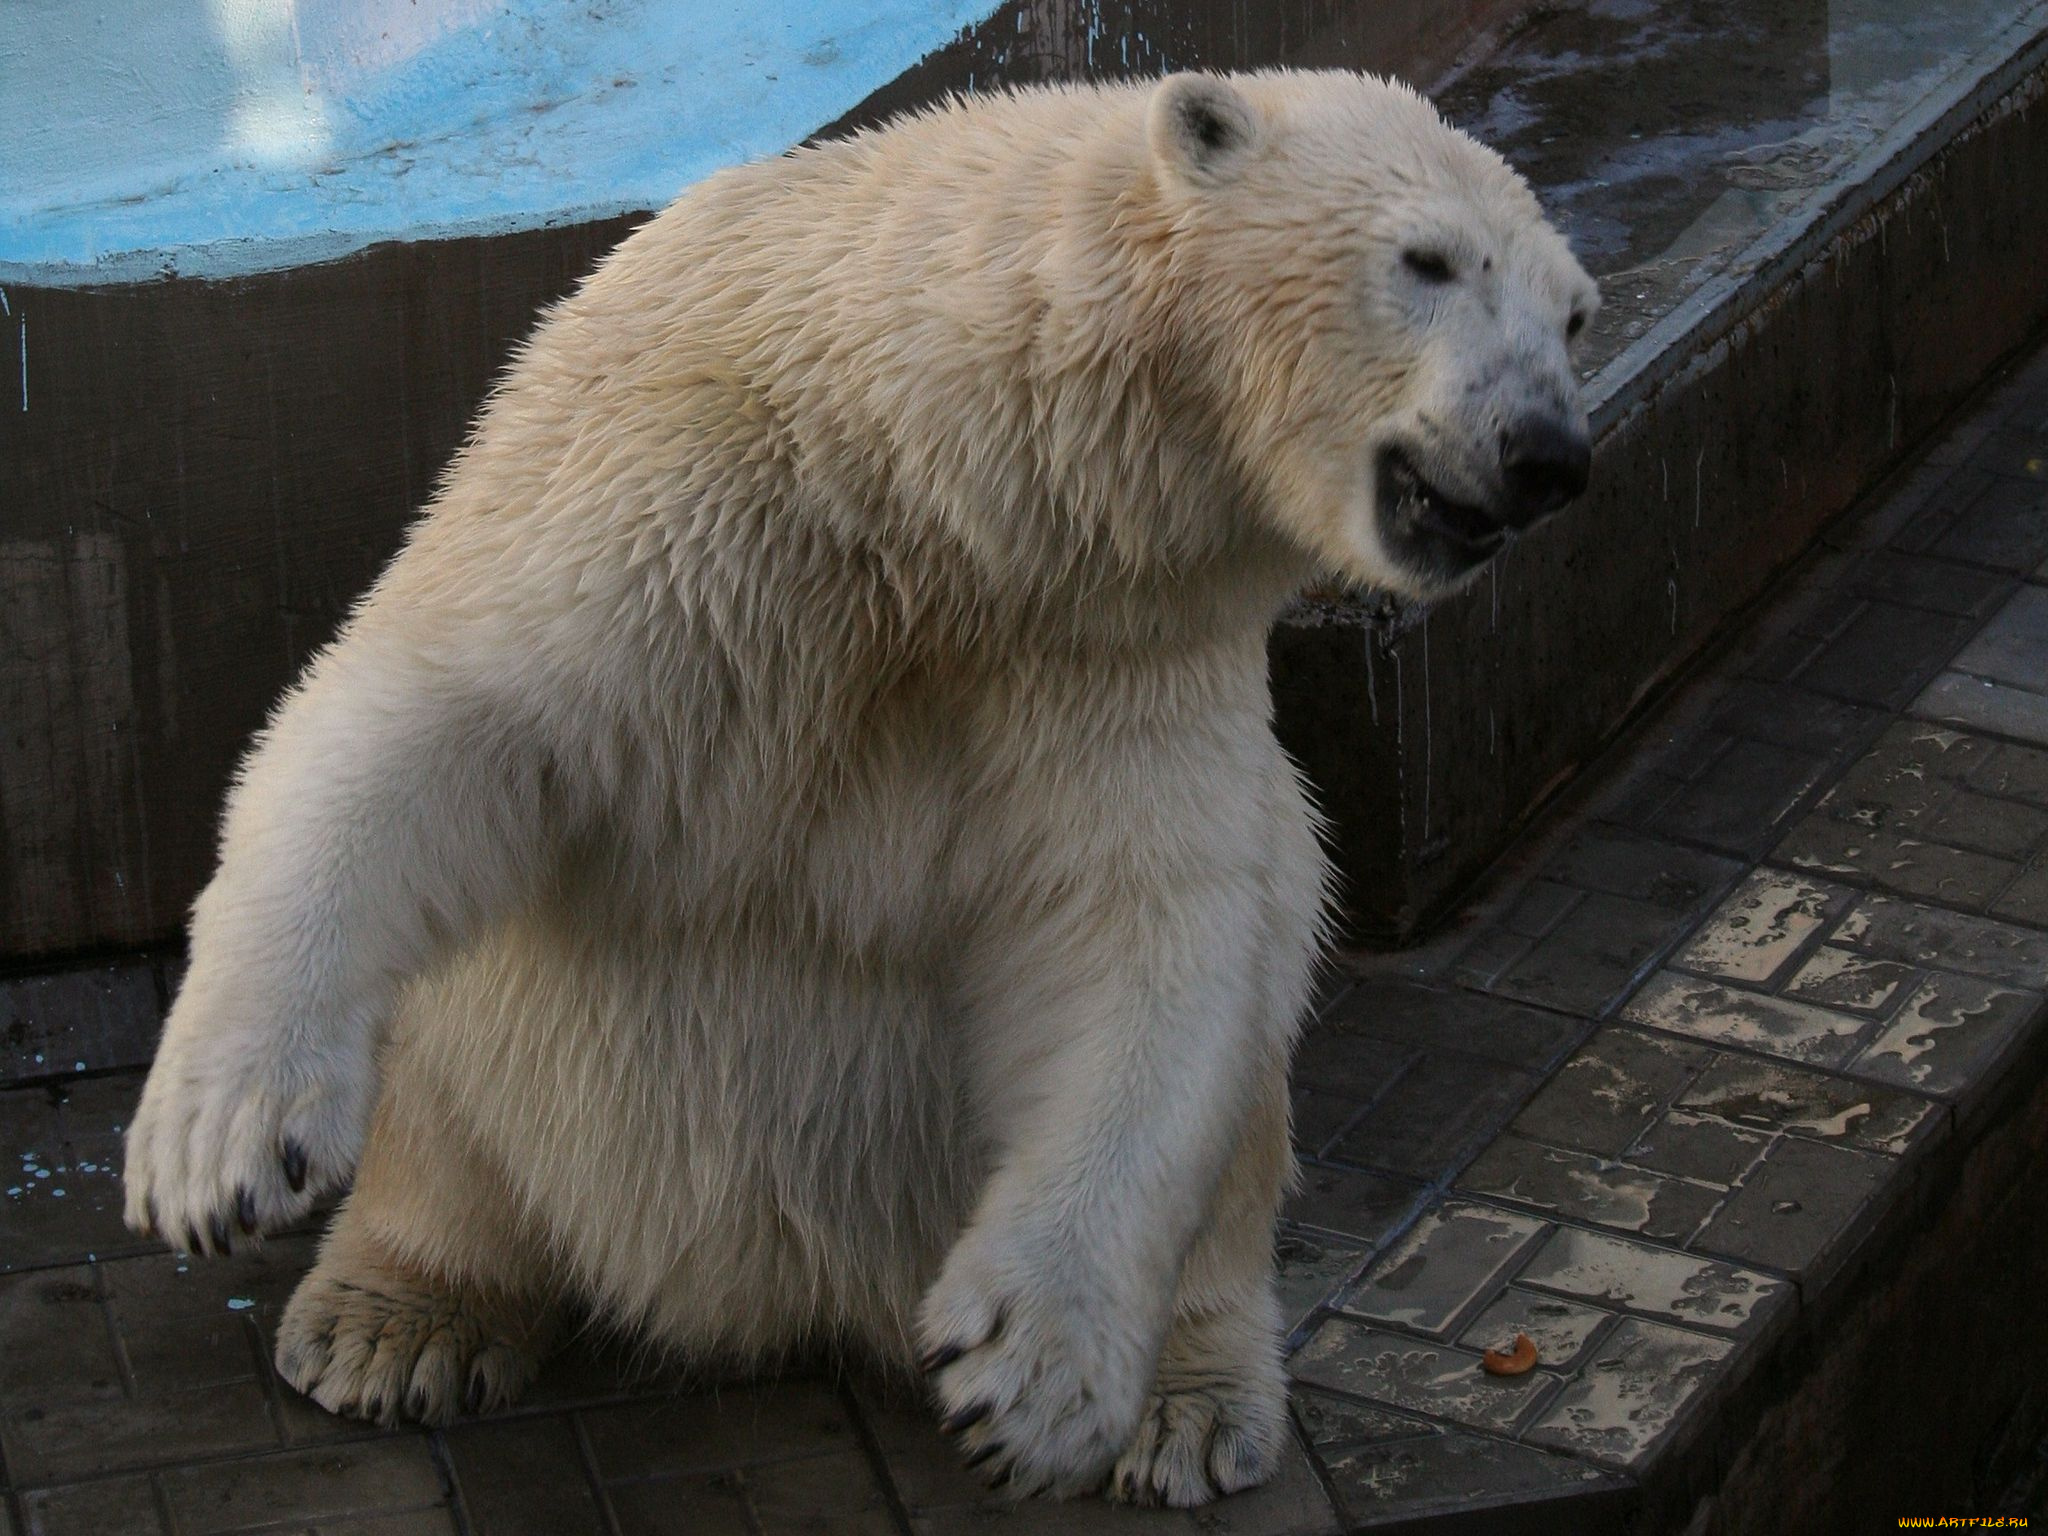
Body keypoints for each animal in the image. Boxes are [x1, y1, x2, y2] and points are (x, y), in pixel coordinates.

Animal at [120, 70, 1597, 1507]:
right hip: (513, 1071)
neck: (919, 476)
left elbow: (1148, 931)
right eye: (1426, 259)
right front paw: (221, 1141)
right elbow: (447, 710)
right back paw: (391, 1324)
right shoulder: (683, 488)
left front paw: (1030, 1375)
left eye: (1574, 313)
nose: (1548, 453)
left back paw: (1183, 1413)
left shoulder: (1105, 649)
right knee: (454, 1108)